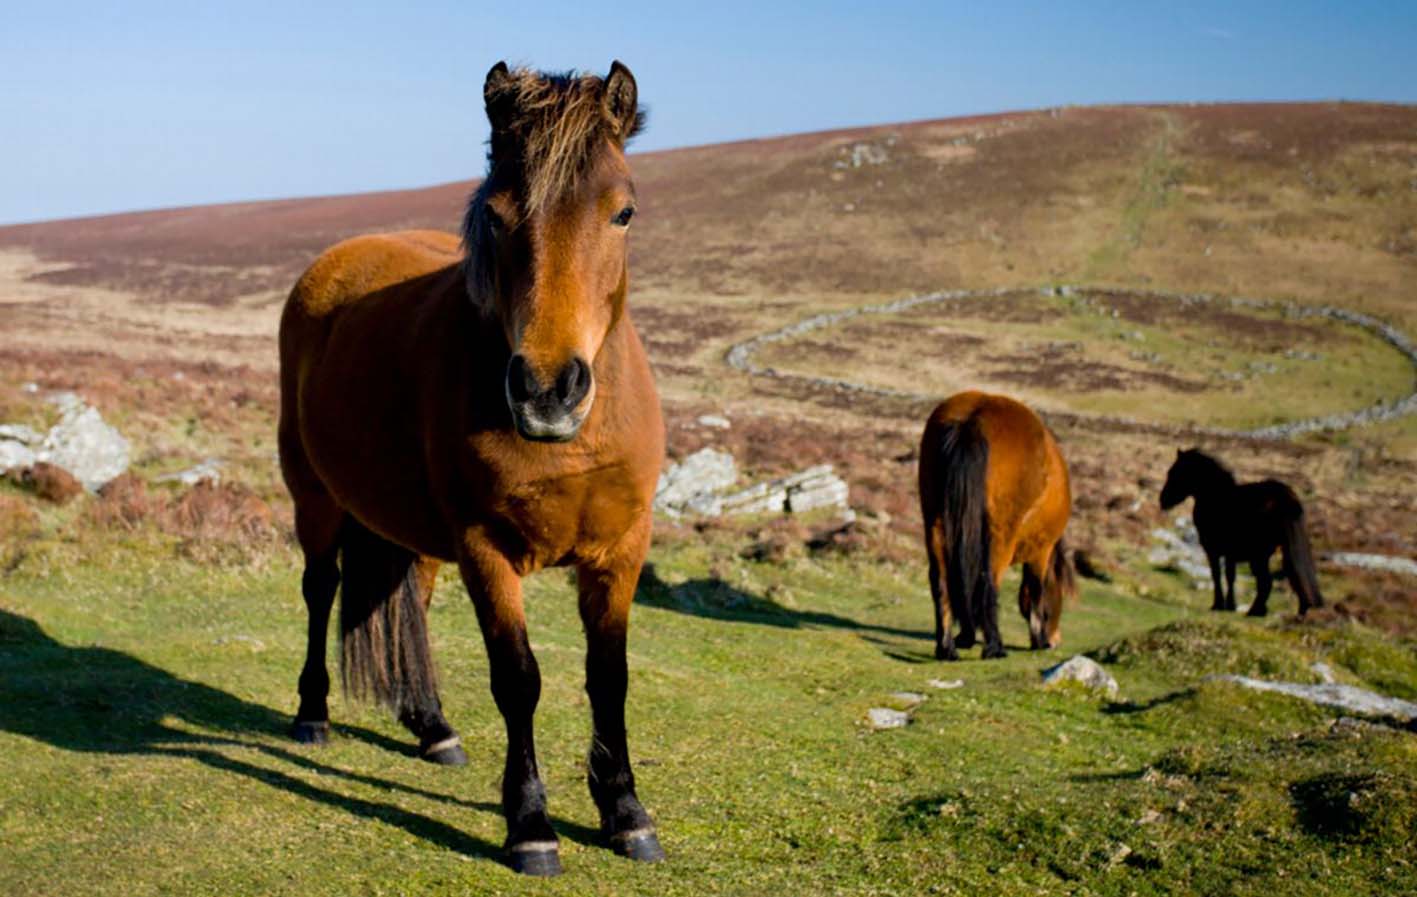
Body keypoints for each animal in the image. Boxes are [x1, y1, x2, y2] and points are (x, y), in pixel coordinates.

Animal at [281, 63, 668, 872]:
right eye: (494, 215)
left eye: (623, 212)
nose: (548, 390)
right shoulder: (487, 550)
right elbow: (518, 679)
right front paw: (531, 825)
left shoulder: (621, 550)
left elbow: (609, 677)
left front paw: (625, 811)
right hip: (314, 497)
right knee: (320, 588)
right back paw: (312, 713)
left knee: (414, 603)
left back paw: (432, 726)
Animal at [918, 391, 1071, 657]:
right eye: (1058, 596)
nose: (1054, 641)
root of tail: (974, 419)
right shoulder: (1041, 551)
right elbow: (1036, 591)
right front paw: (1038, 639)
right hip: (1000, 537)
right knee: (988, 584)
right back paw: (994, 646)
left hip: (935, 524)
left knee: (941, 582)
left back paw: (947, 647)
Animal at [1156, 447, 1320, 615]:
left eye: (1174, 472)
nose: (1163, 500)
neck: (1215, 497)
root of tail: (1288, 499)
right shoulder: (1230, 554)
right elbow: (1229, 576)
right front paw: (1229, 605)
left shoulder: (1215, 551)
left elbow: (1219, 575)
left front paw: (1221, 605)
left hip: (1259, 555)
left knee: (1267, 581)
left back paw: (1256, 611)